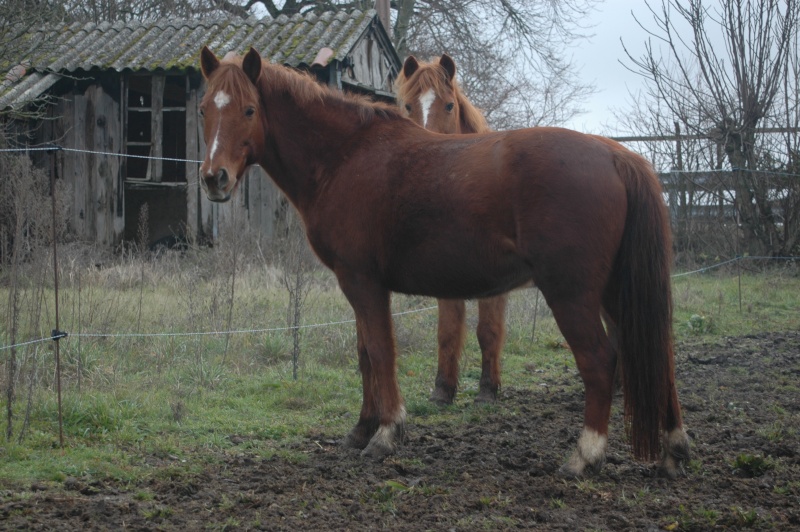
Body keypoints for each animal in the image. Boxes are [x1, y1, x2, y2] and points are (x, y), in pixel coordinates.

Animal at [394, 54, 506, 404]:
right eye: (408, 105)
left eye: (448, 105)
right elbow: (447, 330)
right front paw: (443, 389)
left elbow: (488, 330)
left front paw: (488, 390)